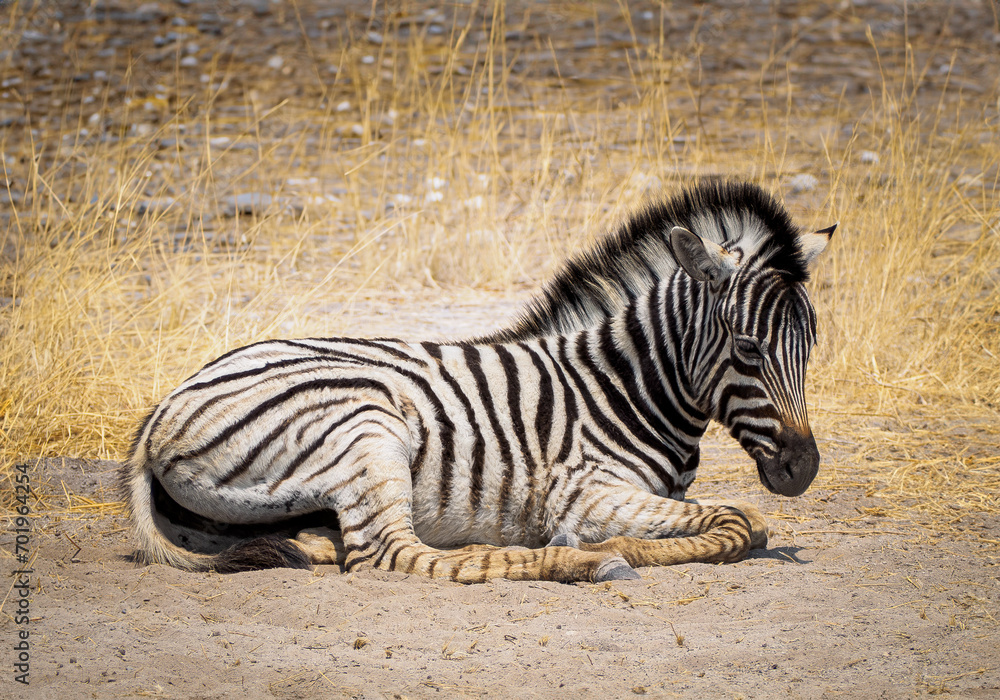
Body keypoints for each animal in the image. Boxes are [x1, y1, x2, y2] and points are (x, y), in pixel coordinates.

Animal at [121, 180, 835, 583]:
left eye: (812, 346)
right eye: (748, 347)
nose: (803, 470)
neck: (625, 387)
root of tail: (159, 413)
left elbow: (740, 519)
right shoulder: (583, 491)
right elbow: (744, 521)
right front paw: (620, 545)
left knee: (334, 544)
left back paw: (310, 543)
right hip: (364, 427)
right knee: (390, 556)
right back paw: (584, 562)